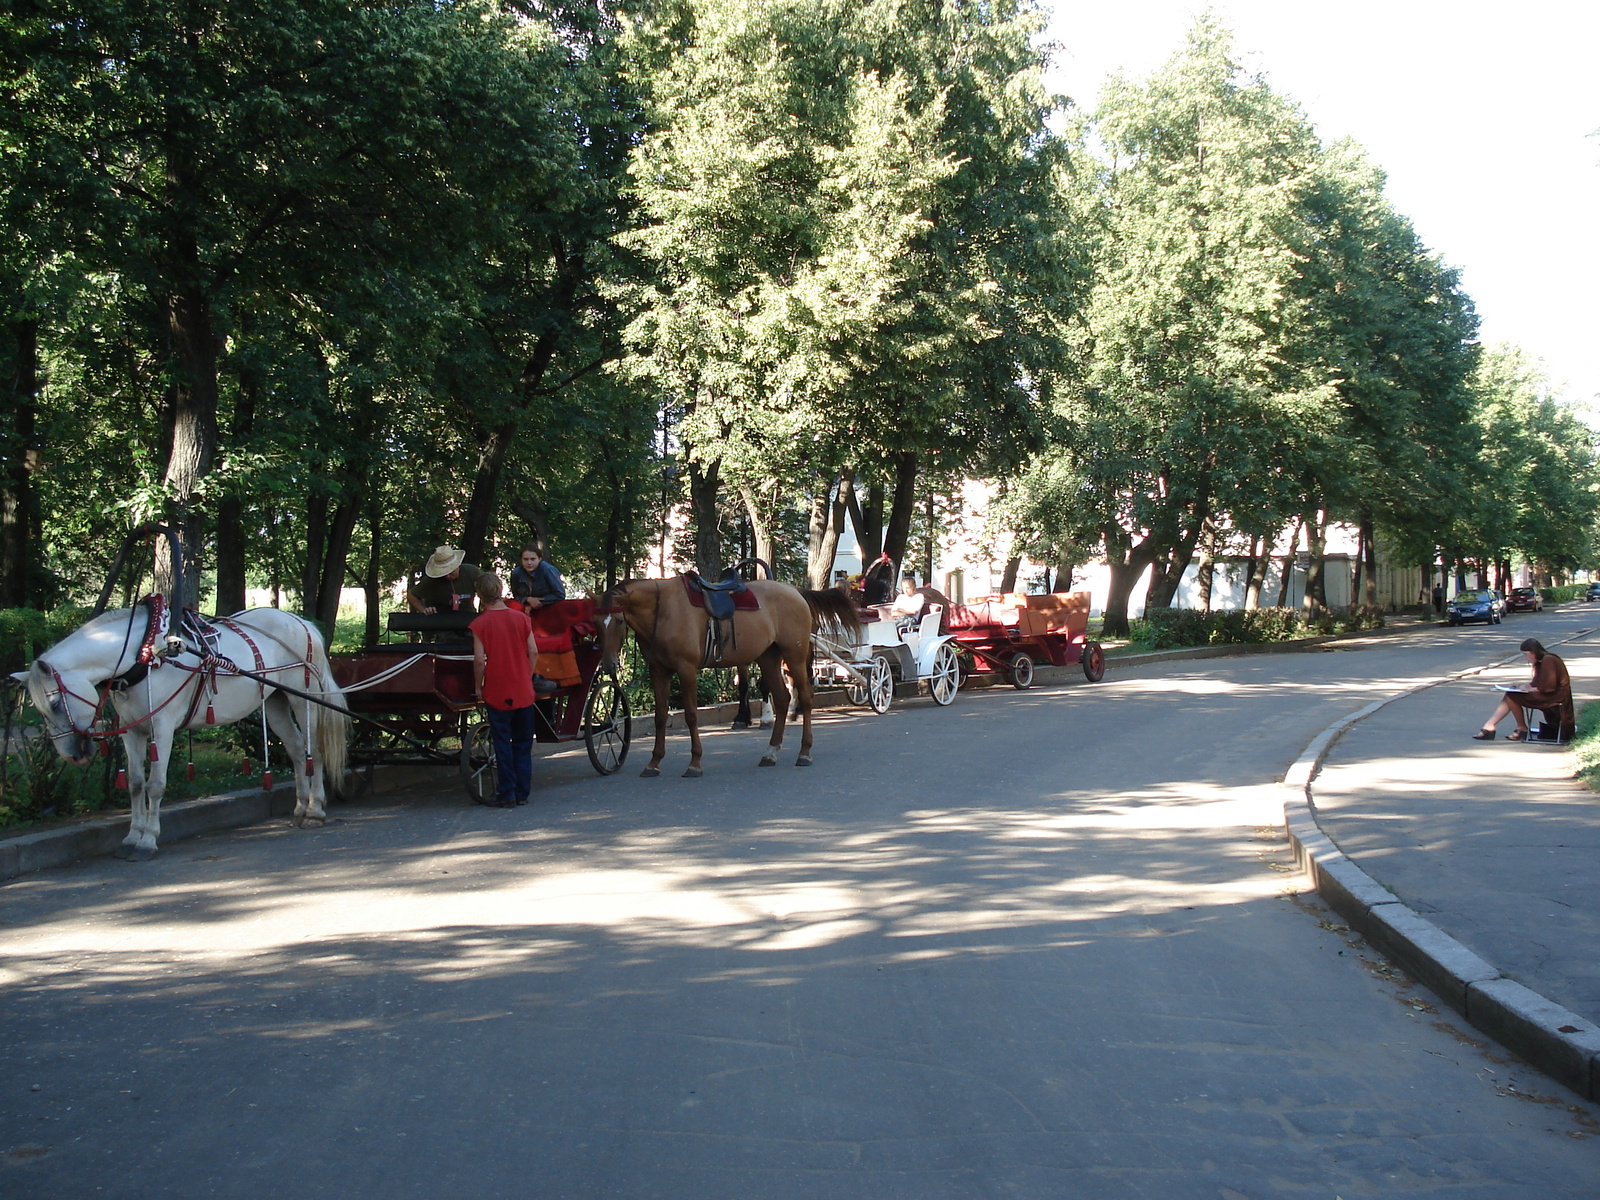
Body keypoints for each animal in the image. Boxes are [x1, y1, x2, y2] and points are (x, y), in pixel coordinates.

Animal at [11, 604, 350, 857]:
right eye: (40, 708)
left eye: (55, 703)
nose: (73, 755)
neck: (145, 654)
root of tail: (301, 622)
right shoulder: (131, 731)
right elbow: (135, 783)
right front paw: (131, 837)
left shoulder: (162, 728)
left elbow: (155, 785)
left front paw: (148, 840)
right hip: (276, 702)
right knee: (296, 751)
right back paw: (300, 808)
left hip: (302, 698)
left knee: (314, 751)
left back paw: (315, 811)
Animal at [595, 579, 857, 780]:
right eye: (596, 622)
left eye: (619, 621)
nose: (607, 664)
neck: (664, 611)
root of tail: (796, 591)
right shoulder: (658, 671)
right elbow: (660, 717)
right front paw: (654, 763)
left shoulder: (686, 669)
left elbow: (691, 715)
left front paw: (695, 763)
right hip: (768, 657)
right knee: (782, 699)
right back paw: (770, 752)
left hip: (794, 655)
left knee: (805, 696)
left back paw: (804, 752)